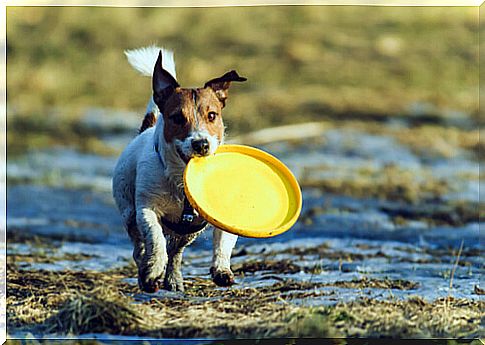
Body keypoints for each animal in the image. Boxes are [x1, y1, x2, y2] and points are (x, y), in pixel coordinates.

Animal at [112, 45, 248, 292]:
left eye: (212, 115)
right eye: (176, 118)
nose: (201, 144)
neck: (181, 180)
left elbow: (223, 243)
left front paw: (222, 270)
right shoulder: (146, 210)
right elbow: (155, 239)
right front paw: (154, 268)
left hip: (189, 231)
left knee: (176, 251)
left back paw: (173, 278)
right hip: (129, 215)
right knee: (140, 249)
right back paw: (147, 273)